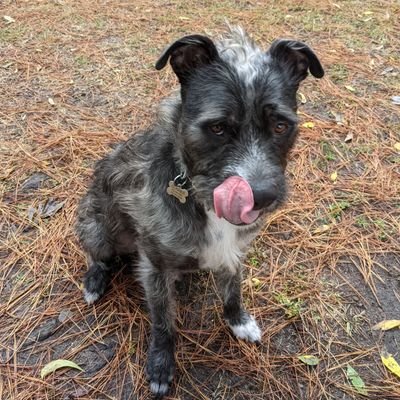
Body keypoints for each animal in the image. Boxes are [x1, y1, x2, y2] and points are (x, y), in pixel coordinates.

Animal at [76, 26, 324, 398]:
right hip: (97, 227)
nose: (263, 197)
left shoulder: (232, 252)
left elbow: (233, 292)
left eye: (281, 126)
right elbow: (164, 323)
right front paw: (161, 364)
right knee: (98, 256)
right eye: (218, 127)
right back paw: (94, 280)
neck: (196, 192)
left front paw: (238, 320)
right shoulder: (155, 268)